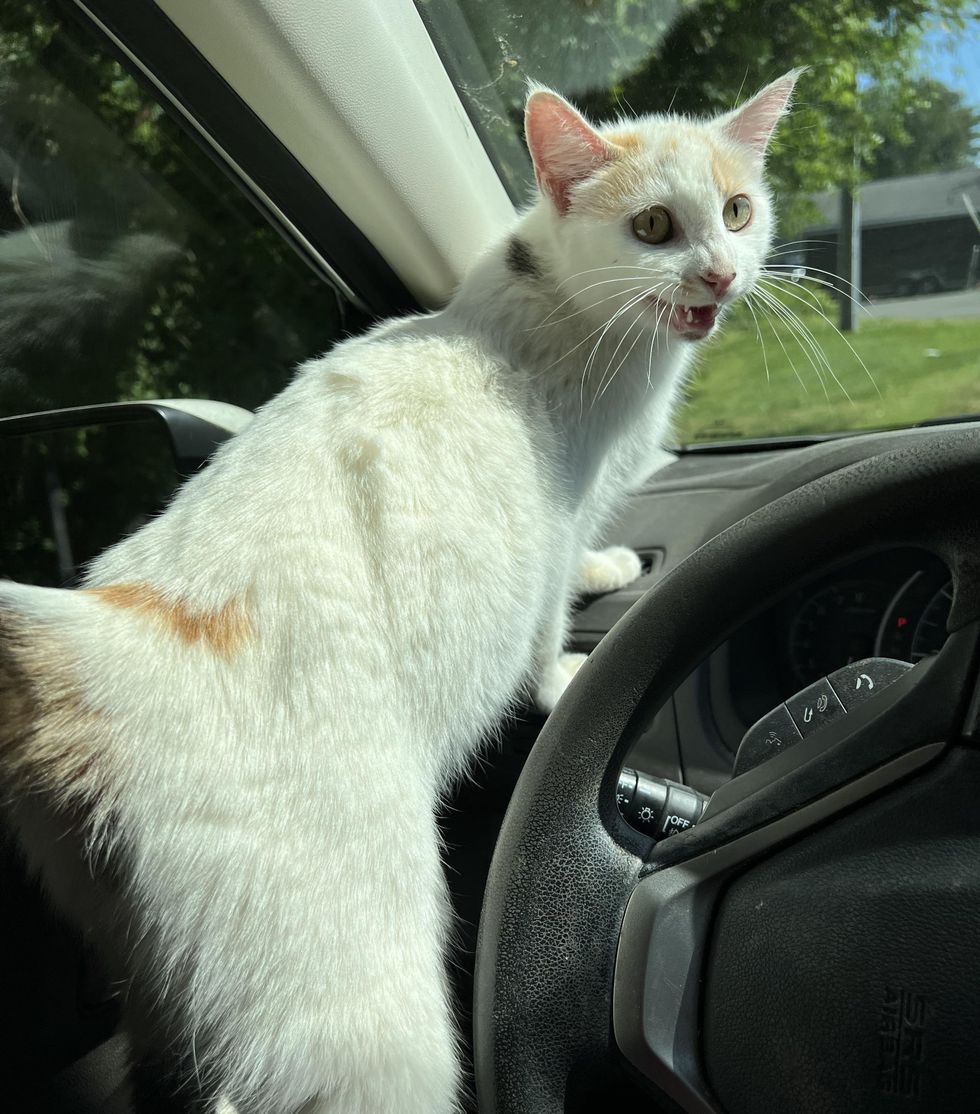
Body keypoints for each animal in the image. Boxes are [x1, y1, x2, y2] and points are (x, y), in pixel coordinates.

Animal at [0, 71, 797, 1114]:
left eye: (738, 211)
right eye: (655, 226)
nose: (719, 277)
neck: (558, 307)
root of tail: (100, 643)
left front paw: (606, 572)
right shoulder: (558, 517)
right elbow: (548, 608)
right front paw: (571, 658)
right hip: (359, 1010)